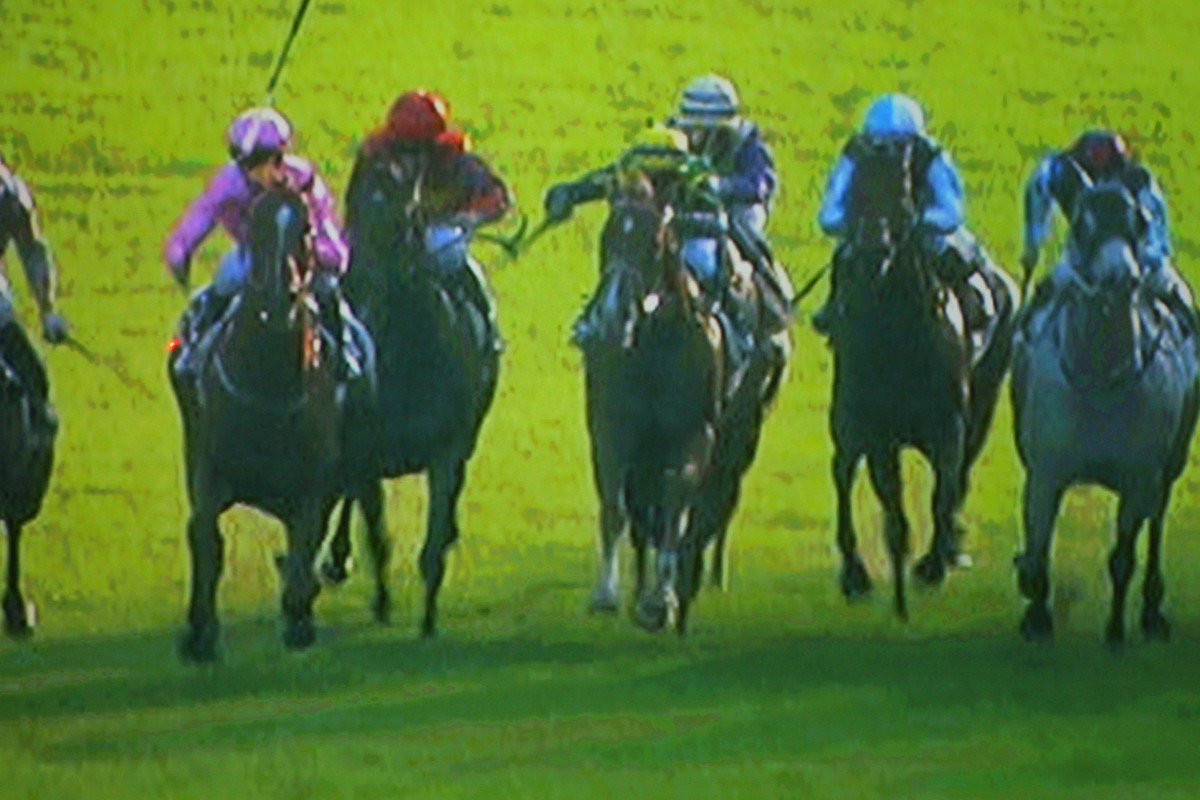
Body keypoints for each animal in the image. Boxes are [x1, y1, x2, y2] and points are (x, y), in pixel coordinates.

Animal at [166, 189, 343, 662]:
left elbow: (304, 542)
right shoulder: (210, 469)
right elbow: (208, 541)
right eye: (254, 223)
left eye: (306, 228)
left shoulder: (312, 481)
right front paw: (200, 633)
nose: (283, 297)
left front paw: (299, 618)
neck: (268, 381)